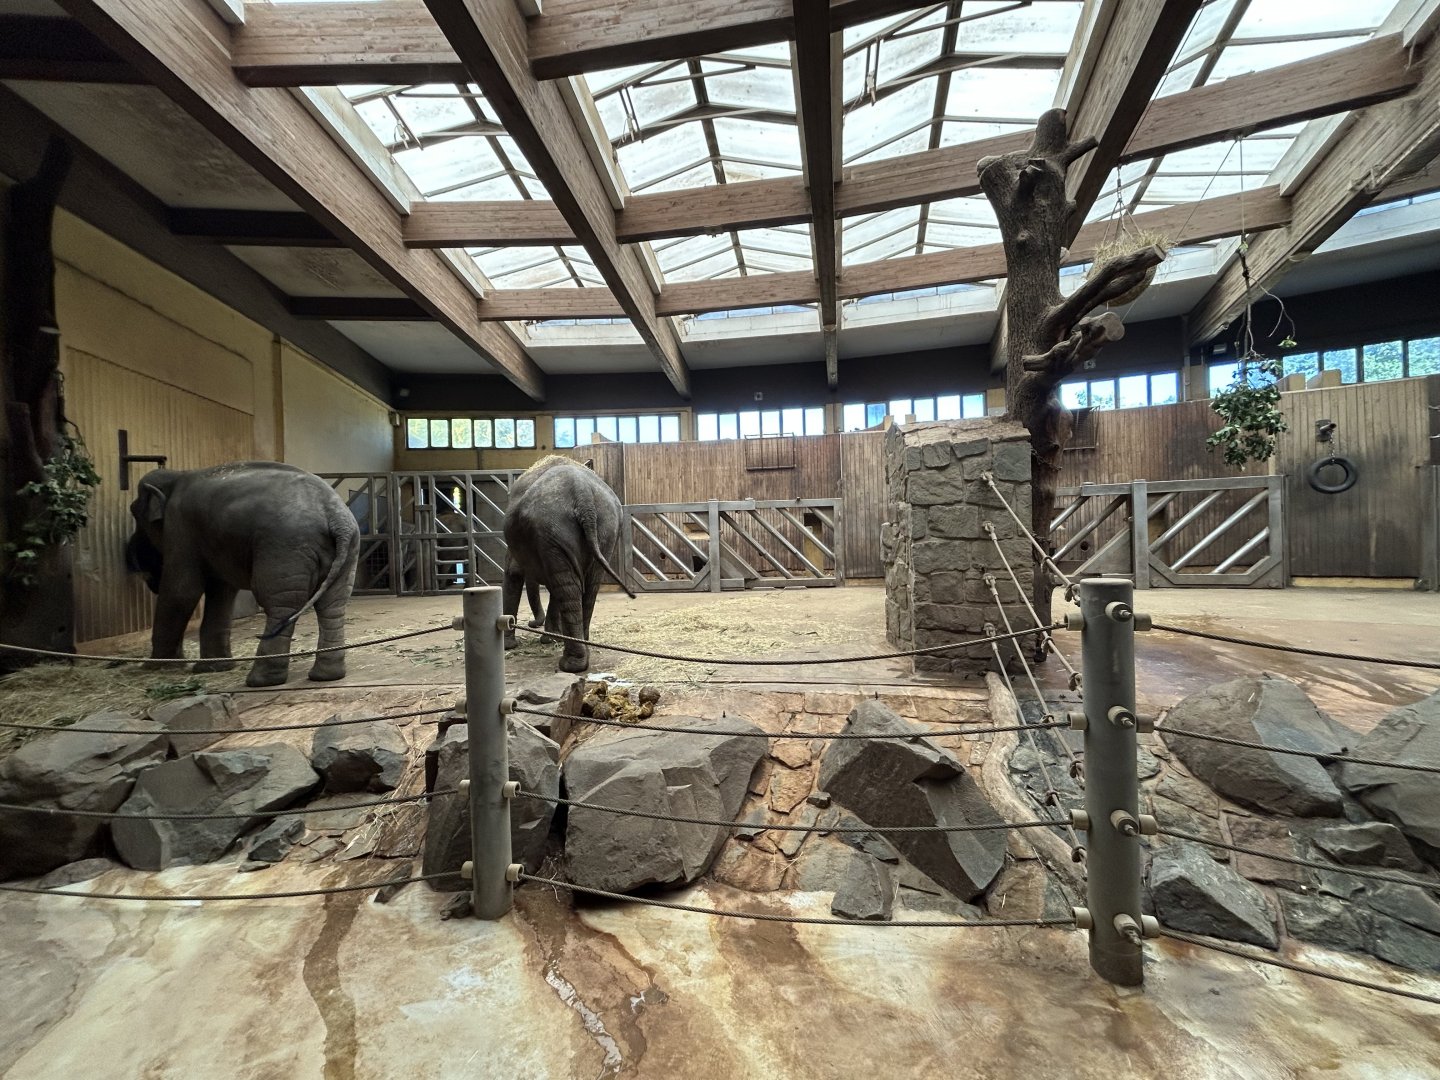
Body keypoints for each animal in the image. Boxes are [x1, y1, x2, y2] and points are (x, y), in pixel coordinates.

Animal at [124, 462, 360, 687]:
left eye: (135, 513)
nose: (130, 554)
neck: (176, 475)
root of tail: (336, 517)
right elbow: (221, 591)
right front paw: (213, 668)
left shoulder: (180, 525)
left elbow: (181, 591)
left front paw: (157, 667)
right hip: (344, 549)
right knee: (333, 603)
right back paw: (326, 676)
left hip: (284, 546)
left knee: (280, 605)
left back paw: (260, 680)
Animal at [502, 457, 634, 672]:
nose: (531, 623)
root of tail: (583, 493)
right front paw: (552, 639)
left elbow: (513, 574)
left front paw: (510, 646)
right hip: (603, 530)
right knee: (584, 587)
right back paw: (582, 649)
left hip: (554, 529)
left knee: (569, 587)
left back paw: (570, 664)